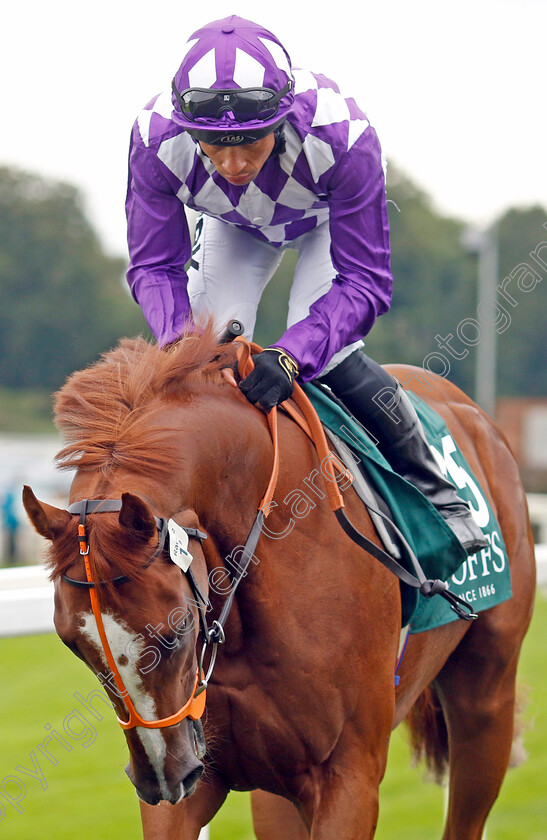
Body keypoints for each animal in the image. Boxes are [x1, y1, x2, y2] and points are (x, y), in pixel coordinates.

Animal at [24, 330, 536, 840]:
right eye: (74, 645)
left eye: (178, 631)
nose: (162, 778)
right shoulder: (200, 774)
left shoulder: (349, 776)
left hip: (486, 701)